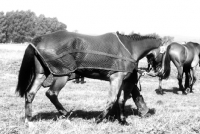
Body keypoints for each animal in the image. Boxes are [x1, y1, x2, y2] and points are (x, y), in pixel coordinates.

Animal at [16, 29, 162, 124]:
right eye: (163, 53)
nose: (159, 72)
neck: (129, 48)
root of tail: (37, 41)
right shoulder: (116, 78)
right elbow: (112, 99)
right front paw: (98, 119)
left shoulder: (123, 80)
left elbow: (120, 100)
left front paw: (122, 120)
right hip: (62, 75)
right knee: (51, 94)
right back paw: (67, 114)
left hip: (41, 74)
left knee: (30, 93)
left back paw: (28, 119)